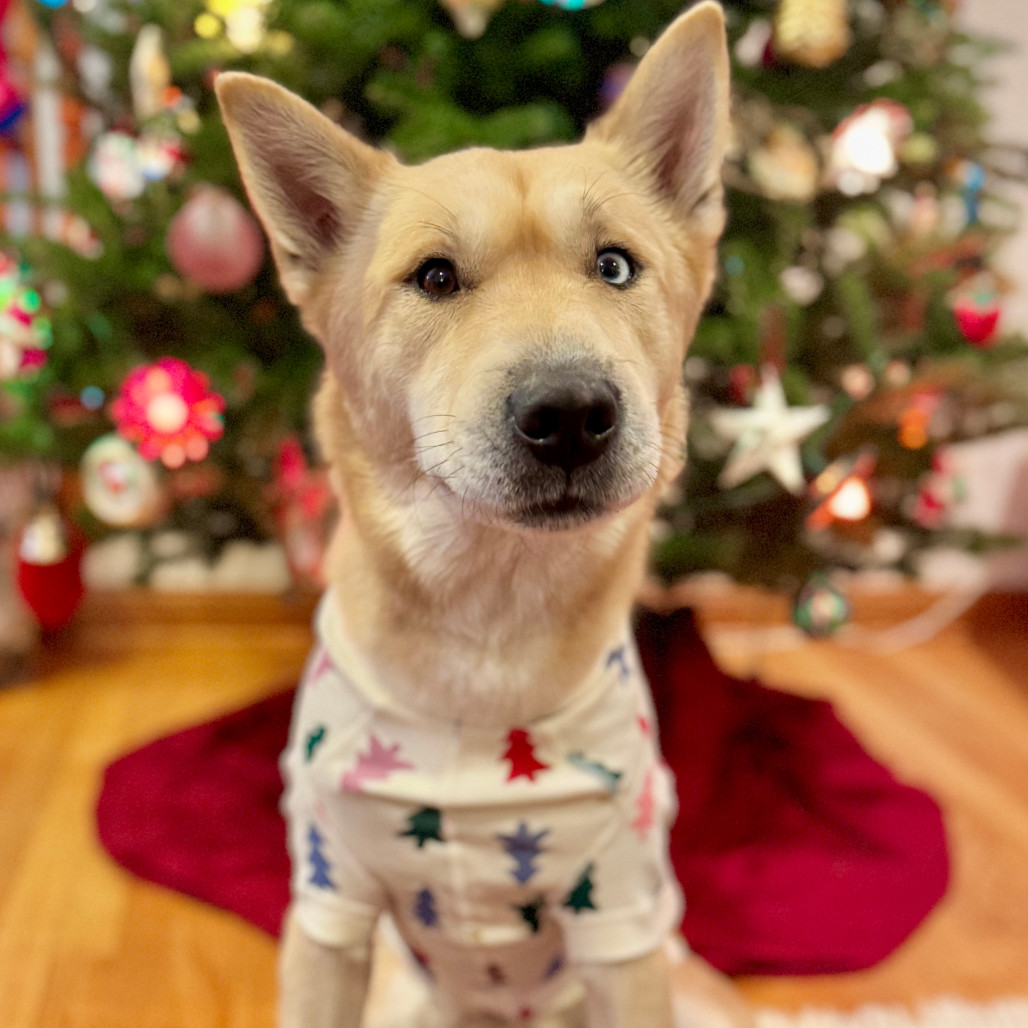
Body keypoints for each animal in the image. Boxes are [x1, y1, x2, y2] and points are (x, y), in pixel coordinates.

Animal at [212, 4, 752, 1023]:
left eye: (615, 265)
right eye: (433, 278)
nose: (571, 413)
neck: (484, 634)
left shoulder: (621, 915)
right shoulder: (329, 896)